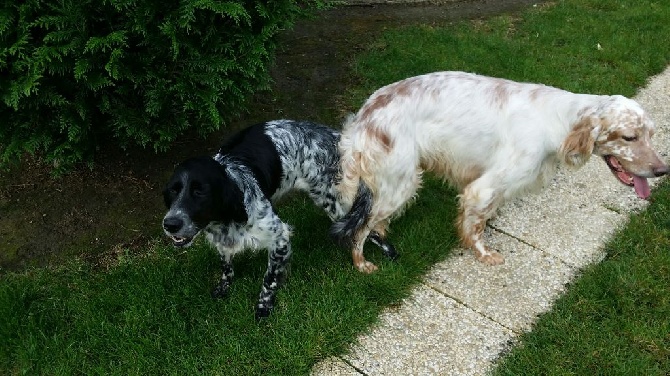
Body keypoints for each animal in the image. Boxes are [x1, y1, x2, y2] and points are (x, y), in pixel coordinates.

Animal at [163, 119, 396, 318]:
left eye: (200, 192)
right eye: (173, 190)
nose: (170, 224)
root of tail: (338, 137)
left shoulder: (279, 237)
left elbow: (270, 279)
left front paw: (263, 307)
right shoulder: (223, 241)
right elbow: (227, 267)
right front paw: (224, 287)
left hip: (333, 203)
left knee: (366, 224)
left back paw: (380, 254)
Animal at [334, 70, 668, 272]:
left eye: (651, 134)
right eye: (629, 137)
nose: (663, 170)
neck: (557, 120)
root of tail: (365, 116)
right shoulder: (483, 187)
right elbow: (476, 225)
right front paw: (483, 254)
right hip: (402, 181)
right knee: (358, 227)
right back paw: (362, 263)